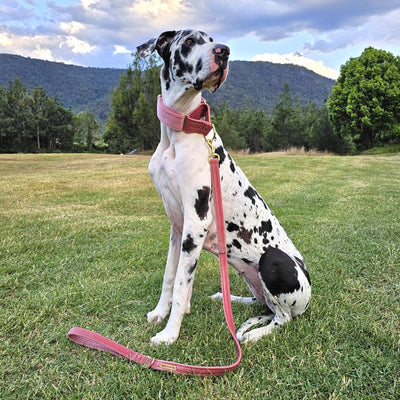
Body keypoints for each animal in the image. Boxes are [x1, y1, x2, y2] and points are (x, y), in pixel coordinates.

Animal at [138, 29, 312, 346]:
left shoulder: (196, 222)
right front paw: (160, 313)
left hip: (272, 261)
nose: (224, 51)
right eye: (189, 41)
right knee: (261, 304)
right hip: (250, 278)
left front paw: (170, 333)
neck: (178, 134)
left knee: (283, 318)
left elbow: (181, 285)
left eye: (211, 39)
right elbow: (171, 277)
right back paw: (227, 298)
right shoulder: (178, 226)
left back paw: (253, 334)